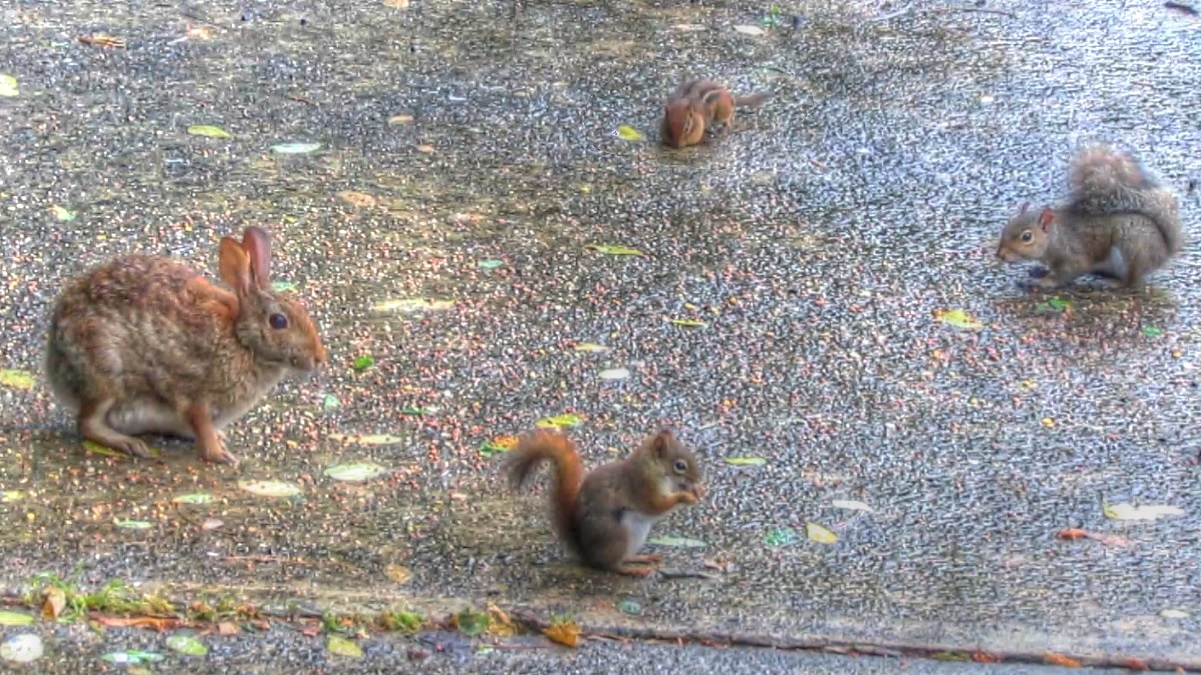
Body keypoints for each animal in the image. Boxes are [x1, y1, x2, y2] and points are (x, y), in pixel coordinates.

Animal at [506, 428, 704, 577]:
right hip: (616, 535)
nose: (698, 479)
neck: (652, 468)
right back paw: (632, 570)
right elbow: (655, 506)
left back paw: (643, 558)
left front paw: (698, 491)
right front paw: (685, 497)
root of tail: (588, 554)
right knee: (610, 565)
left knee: (624, 557)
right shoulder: (642, 487)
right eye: (680, 465)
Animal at [996, 143, 1183, 288]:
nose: (1000, 255)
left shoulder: (1073, 254)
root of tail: (1163, 252)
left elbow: (1067, 273)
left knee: (1132, 281)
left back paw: (1114, 283)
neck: (1056, 237)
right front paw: (1040, 271)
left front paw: (1043, 282)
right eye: (1006, 226)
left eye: (1027, 237)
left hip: (1132, 249)